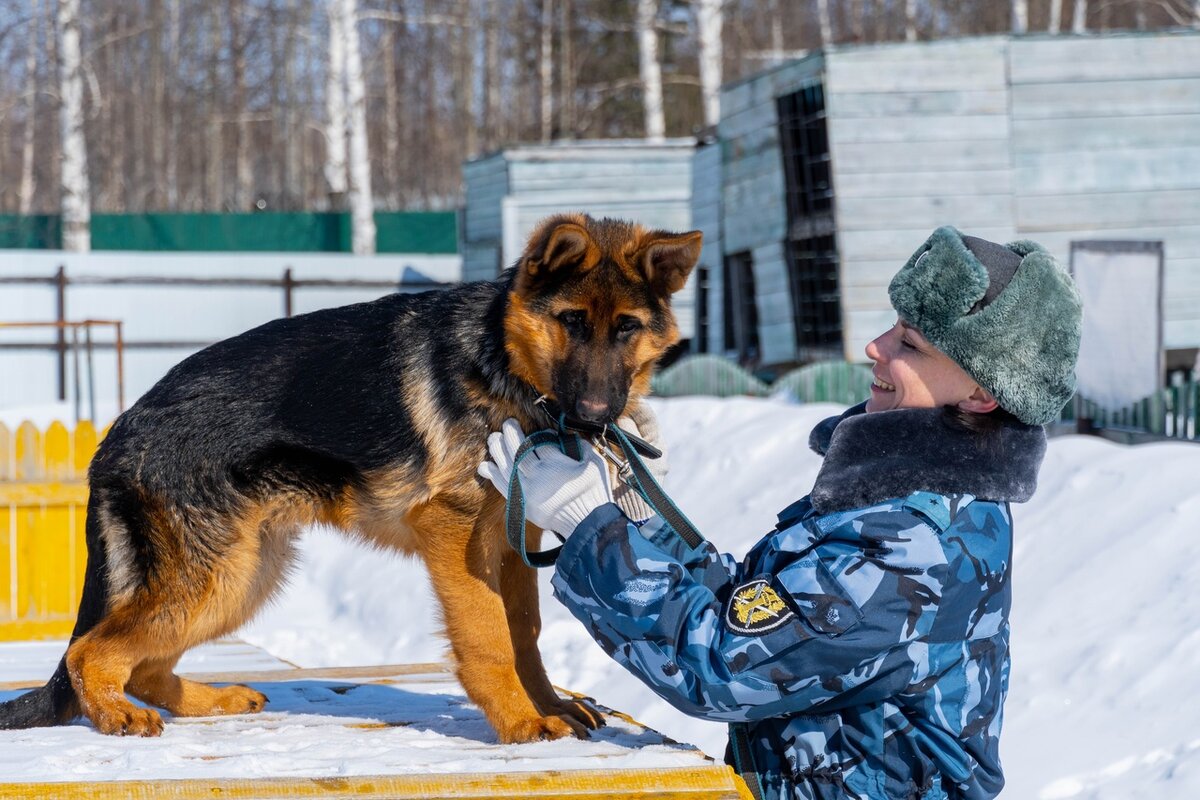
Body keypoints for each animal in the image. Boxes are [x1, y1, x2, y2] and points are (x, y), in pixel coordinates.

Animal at [0, 214, 700, 743]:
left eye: (627, 328)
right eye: (571, 322)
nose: (596, 416)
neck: (501, 358)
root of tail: (116, 433)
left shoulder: (512, 542)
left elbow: (523, 631)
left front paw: (547, 705)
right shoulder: (453, 532)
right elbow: (489, 635)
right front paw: (521, 722)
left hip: (243, 577)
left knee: (140, 663)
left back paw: (208, 701)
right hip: (217, 577)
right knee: (90, 651)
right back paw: (116, 713)